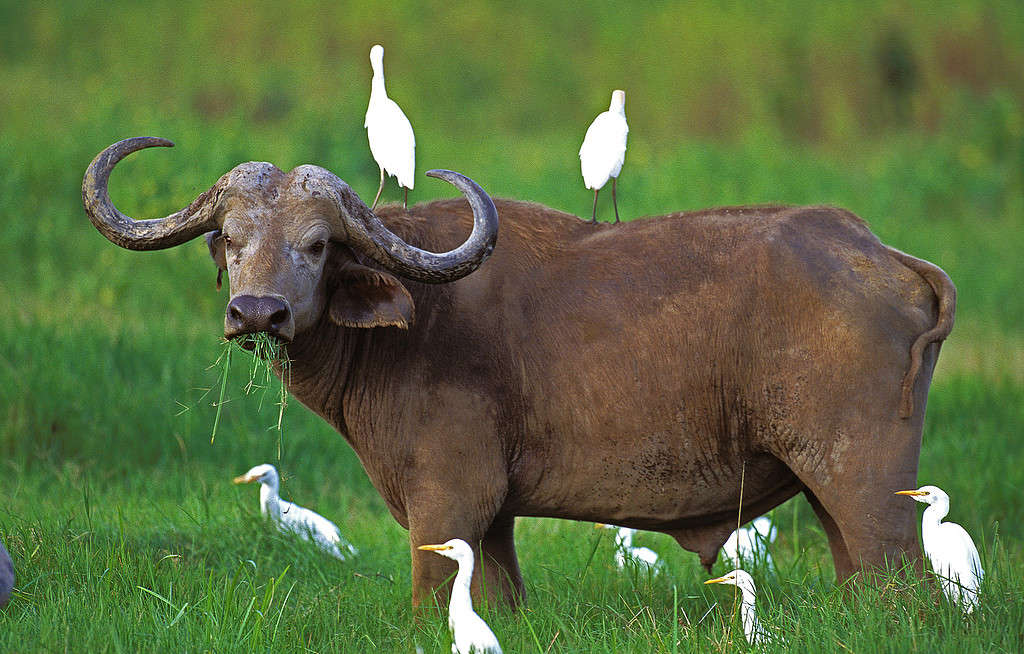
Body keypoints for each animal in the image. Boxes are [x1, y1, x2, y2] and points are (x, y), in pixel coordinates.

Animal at [83, 137, 954, 609]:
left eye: (319, 244)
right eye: (229, 239)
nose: (258, 312)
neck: (414, 320)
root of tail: (877, 250)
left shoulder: (447, 504)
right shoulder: (494, 520)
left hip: (868, 494)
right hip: (828, 500)